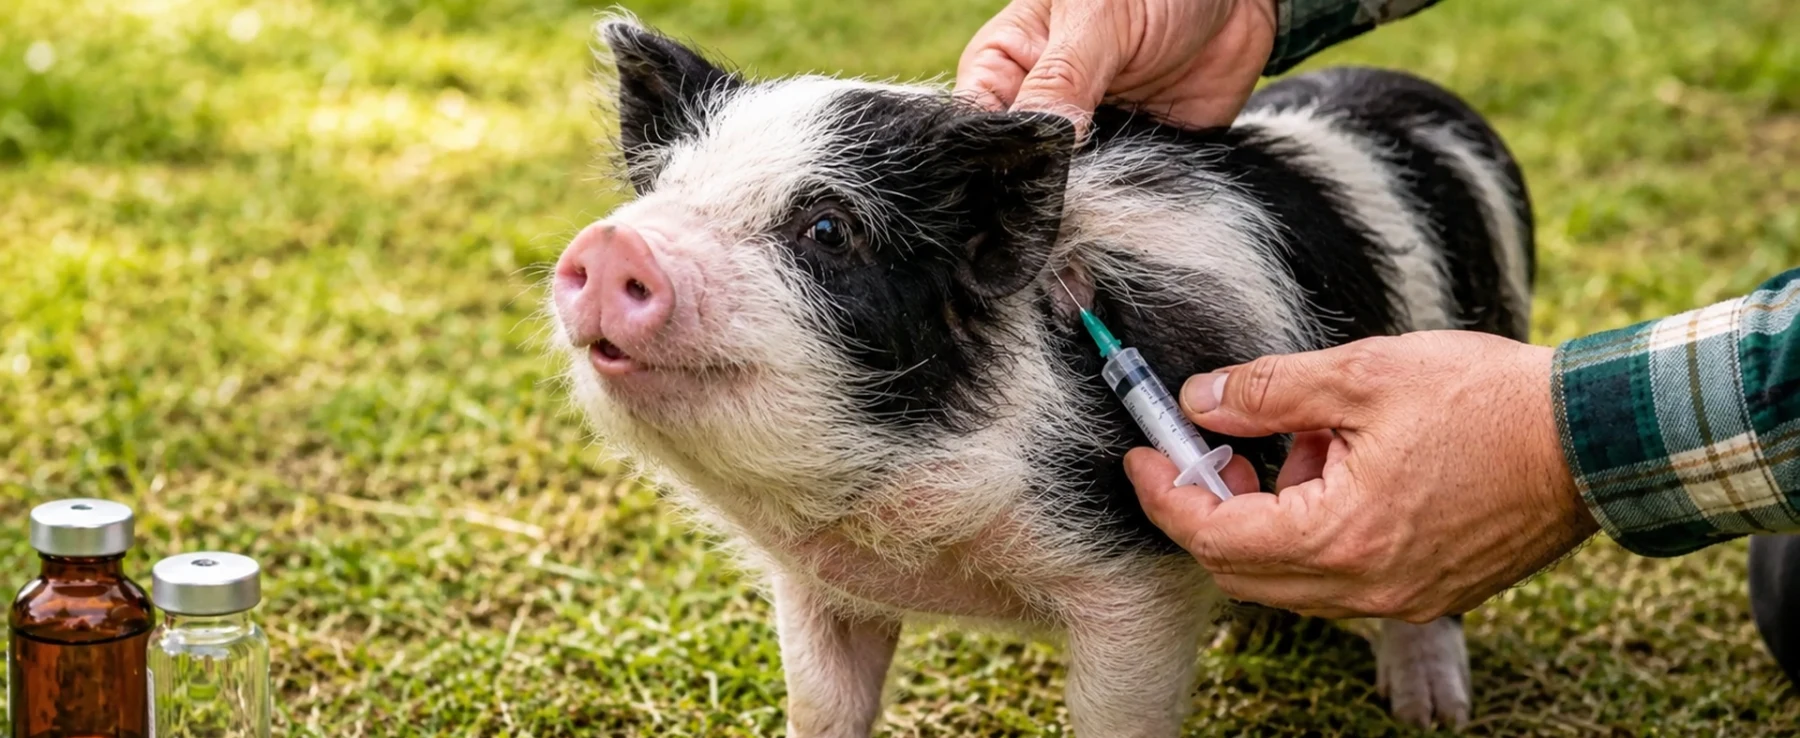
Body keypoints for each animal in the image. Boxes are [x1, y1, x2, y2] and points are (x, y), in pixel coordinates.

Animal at [547, 15, 1533, 737]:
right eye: (661, 189)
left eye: (828, 230)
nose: (616, 243)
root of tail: (1419, 97)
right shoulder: (818, 588)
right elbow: (824, 705)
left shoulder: (1135, 586)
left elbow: (1116, 715)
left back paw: (1431, 716)